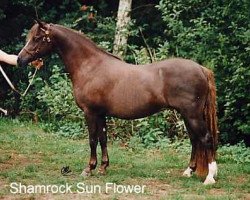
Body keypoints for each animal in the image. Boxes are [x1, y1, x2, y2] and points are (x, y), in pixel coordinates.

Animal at [17, 20, 218, 184]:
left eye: (37, 38)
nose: (20, 60)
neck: (90, 66)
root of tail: (201, 68)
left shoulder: (90, 113)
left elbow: (92, 140)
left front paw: (88, 169)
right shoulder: (101, 114)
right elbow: (103, 139)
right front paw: (103, 167)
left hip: (192, 115)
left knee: (206, 138)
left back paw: (210, 177)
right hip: (187, 116)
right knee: (195, 140)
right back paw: (188, 171)